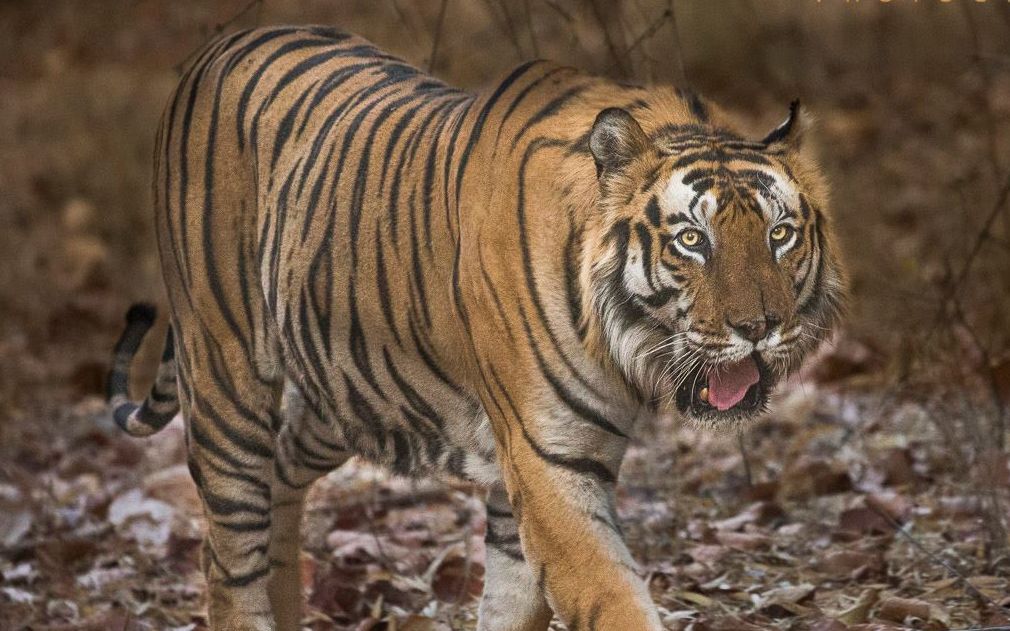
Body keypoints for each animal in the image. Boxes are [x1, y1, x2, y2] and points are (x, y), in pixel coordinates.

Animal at [106, 24, 844, 629]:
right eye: (693, 240)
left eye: (780, 234)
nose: (759, 326)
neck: (623, 349)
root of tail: (218, 45)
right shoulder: (549, 460)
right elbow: (611, 596)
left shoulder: (537, 473)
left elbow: (515, 599)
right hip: (227, 383)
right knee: (231, 556)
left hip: (343, 391)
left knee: (278, 488)